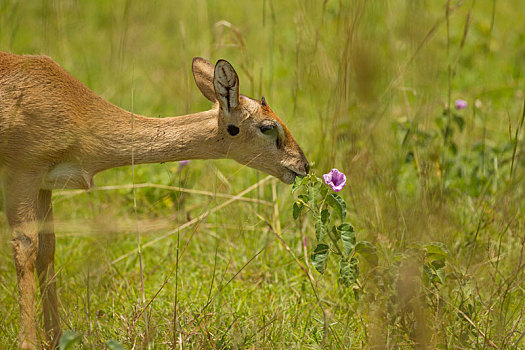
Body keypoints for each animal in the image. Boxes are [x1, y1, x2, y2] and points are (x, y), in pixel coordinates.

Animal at [0, 51, 310, 348]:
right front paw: (28, 343)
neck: (75, 108)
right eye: (268, 126)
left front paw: (55, 338)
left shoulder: (45, 185)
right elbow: (25, 248)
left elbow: (47, 251)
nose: (303, 165)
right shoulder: (22, 175)